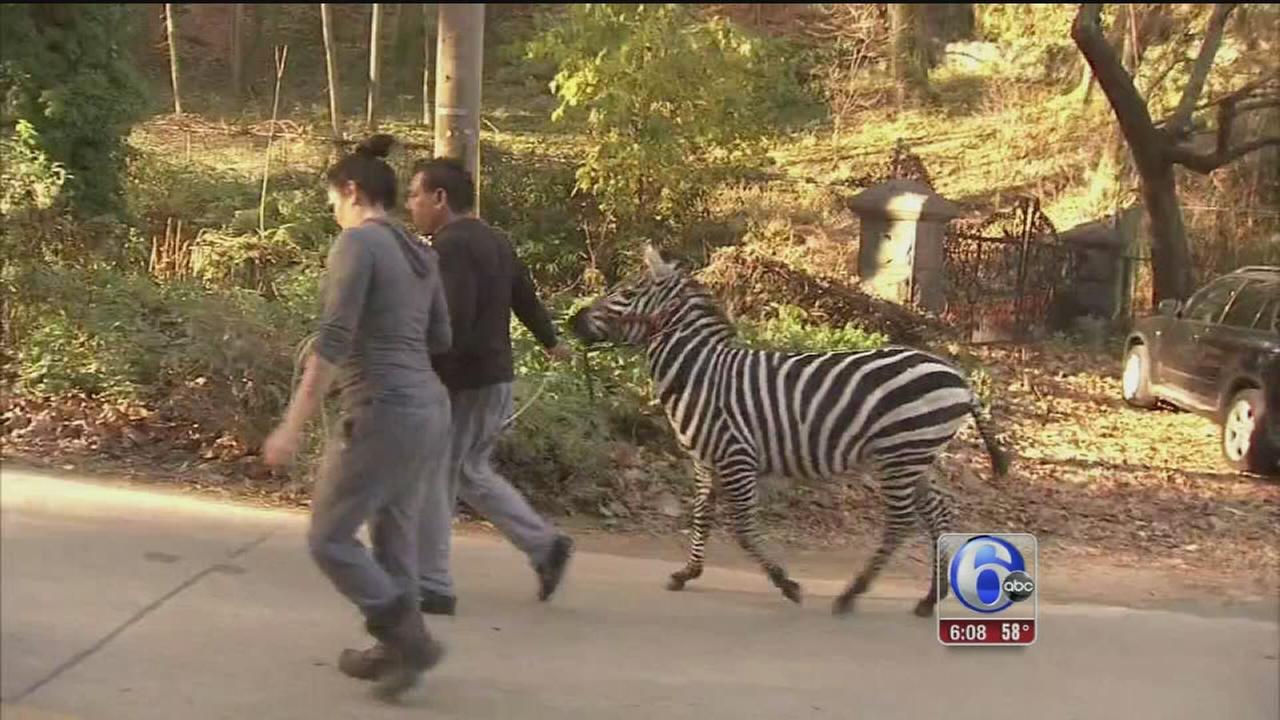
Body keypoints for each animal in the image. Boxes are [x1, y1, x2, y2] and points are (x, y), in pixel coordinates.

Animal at [570, 243, 1008, 614]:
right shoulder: (705, 460)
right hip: (917, 456)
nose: (572, 321)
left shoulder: (736, 456)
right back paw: (931, 597)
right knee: (937, 514)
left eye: (627, 291)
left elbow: (743, 528)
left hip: (901, 453)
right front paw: (687, 573)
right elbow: (701, 516)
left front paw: (786, 583)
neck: (700, 372)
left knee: (902, 523)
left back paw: (853, 593)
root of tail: (959, 376)